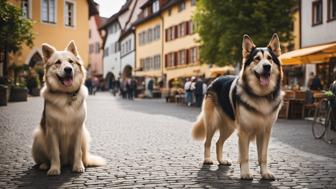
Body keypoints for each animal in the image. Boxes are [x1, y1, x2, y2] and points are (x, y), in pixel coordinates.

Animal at [31, 41, 105, 176]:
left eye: (71, 61)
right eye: (58, 62)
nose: (68, 69)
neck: (66, 95)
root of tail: (65, 162)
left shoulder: (78, 130)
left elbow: (77, 152)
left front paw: (78, 166)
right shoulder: (52, 131)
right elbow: (54, 153)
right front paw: (54, 169)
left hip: (84, 136)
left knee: (83, 156)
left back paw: (84, 163)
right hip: (38, 137)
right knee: (44, 158)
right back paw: (45, 165)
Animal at [192, 34, 284, 180]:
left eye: (270, 58)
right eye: (257, 59)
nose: (267, 67)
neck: (260, 95)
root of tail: (215, 80)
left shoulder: (265, 132)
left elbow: (263, 156)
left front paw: (265, 173)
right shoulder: (244, 132)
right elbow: (245, 156)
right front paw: (245, 173)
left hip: (229, 127)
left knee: (219, 143)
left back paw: (222, 161)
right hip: (212, 123)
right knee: (208, 142)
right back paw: (207, 159)